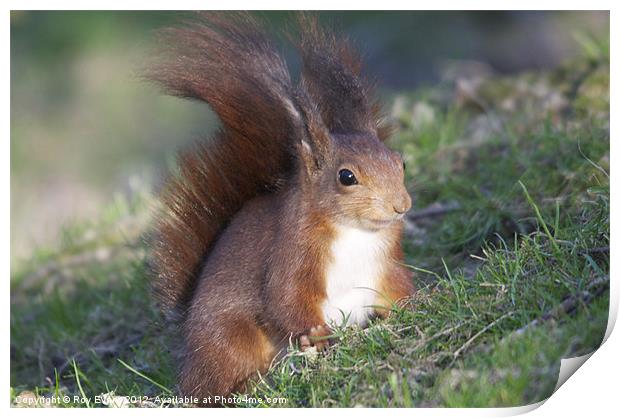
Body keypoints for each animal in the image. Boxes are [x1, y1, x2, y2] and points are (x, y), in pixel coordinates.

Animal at [148, 13, 414, 404]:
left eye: (400, 162)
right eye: (346, 176)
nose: (401, 205)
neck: (355, 232)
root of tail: (189, 361)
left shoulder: (385, 261)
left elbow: (396, 287)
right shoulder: (291, 253)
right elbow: (284, 298)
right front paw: (315, 334)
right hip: (231, 340)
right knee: (219, 378)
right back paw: (248, 385)